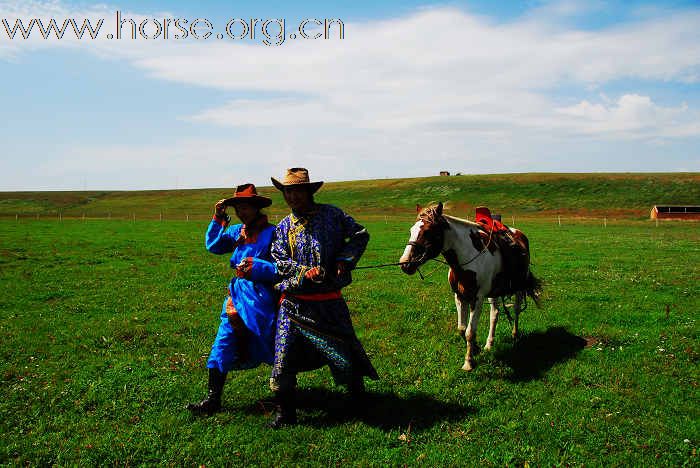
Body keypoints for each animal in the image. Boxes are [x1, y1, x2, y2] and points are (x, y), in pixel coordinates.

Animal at [400, 203, 540, 372]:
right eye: (411, 230)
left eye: (427, 231)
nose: (405, 263)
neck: (466, 259)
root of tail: (519, 234)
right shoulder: (459, 297)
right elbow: (462, 328)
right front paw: (476, 349)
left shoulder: (477, 299)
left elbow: (470, 332)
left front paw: (468, 362)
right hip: (494, 292)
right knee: (495, 314)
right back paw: (489, 344)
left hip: (519, 287)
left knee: (516, 310)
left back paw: (514, 335)